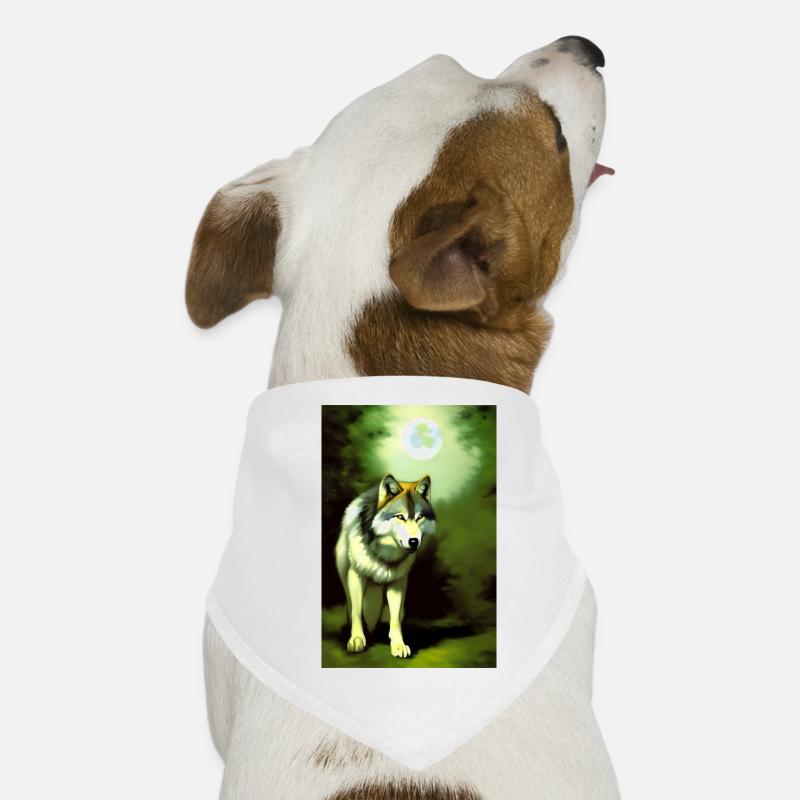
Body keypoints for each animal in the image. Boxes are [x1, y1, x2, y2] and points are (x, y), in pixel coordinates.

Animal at [335, 474, 435, 658]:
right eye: (400, 517)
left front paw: (398, 645)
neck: (384, 552)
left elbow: (394, 620)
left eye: (419, 517)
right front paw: (357, 639)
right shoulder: (356, 575)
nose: (414, 541)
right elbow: (356, 612)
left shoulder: (397, 583)